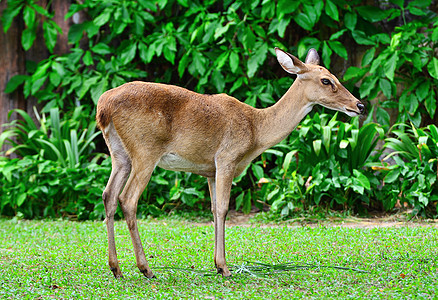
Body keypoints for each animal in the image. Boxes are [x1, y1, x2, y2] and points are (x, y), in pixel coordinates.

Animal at [96, 47, 366, 278]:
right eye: (326, 81)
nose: (360, 105)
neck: (256, 129)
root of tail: (103, 106)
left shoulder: (209, 170)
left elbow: (215, 209)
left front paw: (217, 265)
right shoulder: (226, 158)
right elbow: (224, 209)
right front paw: (224, 267)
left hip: (119, 154)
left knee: (109, 195)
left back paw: (116, 268)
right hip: (145, 150)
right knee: (128, 198)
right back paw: (146, 269)